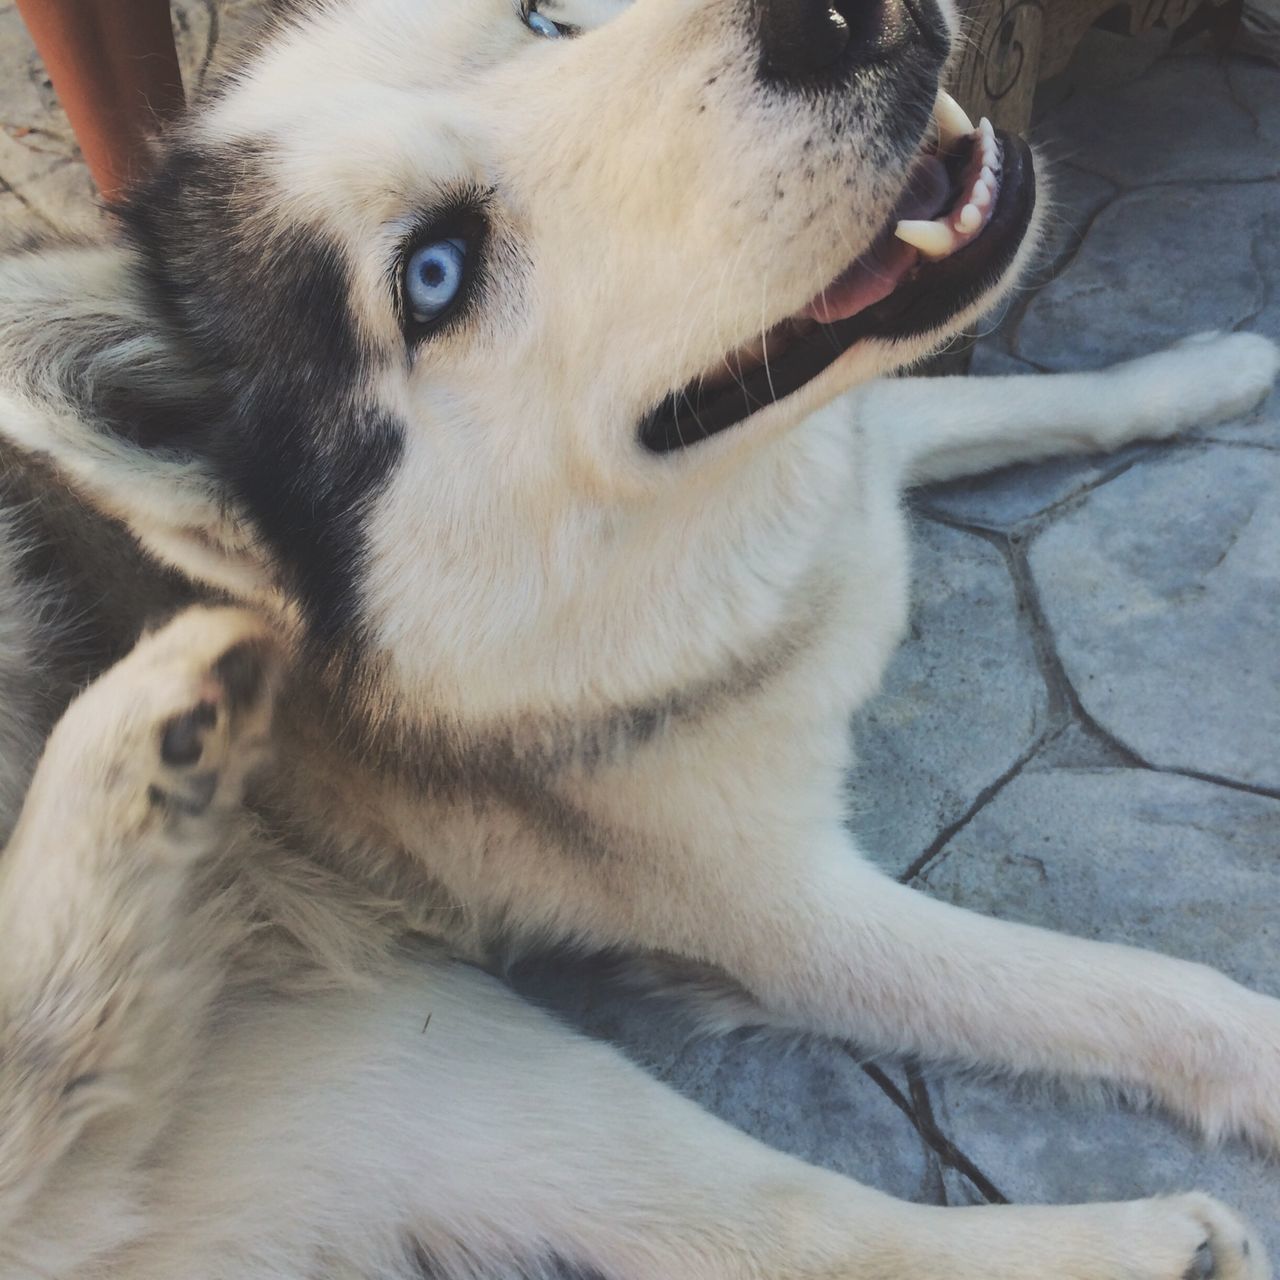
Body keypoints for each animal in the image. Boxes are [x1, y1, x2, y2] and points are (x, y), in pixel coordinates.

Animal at [2, 0, 1280, 1274]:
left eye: (543, 17)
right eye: (434, 277)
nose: (826, 21)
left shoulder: (852, 465)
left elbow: (1009, 399)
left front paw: (1204, 370)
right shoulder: (790, 919)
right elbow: (1152, 992)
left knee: (774, 1224)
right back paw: (143, 736)